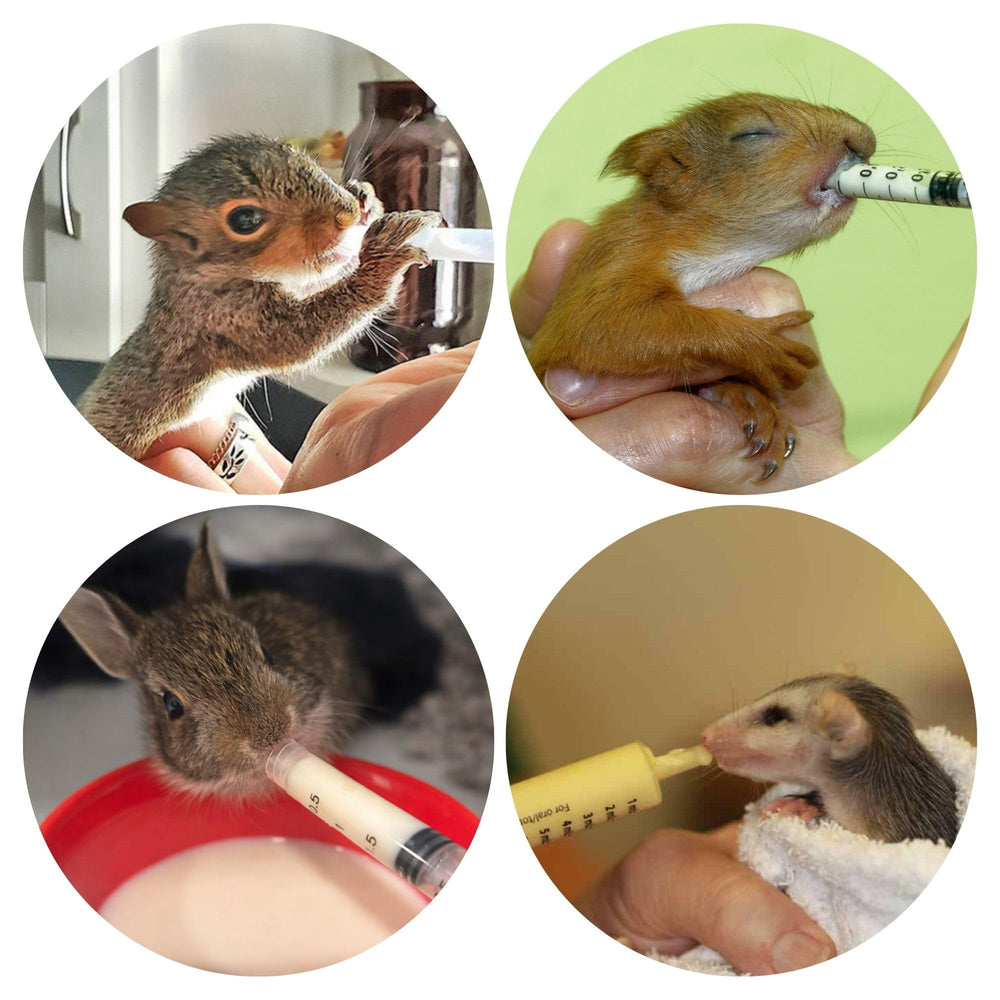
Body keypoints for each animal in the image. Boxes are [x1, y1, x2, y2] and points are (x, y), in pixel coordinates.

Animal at [79, 134, 441, 460]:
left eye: (306, 160)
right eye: (245, 220)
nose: (348, 214)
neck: (198, 276)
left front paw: (365, 199)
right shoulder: (224, 315)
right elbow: (296, 335)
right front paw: (386, 255)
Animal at [528, 94, 876, 479]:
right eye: (750, 134)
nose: (865, 139)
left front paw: (747, 397)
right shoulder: (619, 254)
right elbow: (596, 325)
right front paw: (759, 343)